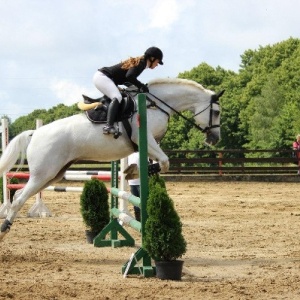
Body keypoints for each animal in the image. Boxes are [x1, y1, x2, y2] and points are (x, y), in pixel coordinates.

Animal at [0, 78, 223, 241]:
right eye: (217, 112)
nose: (215, 139)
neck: (156, 105)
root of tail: (34, 134)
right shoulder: (144, 139)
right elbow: (165, 162)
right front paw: (133, 171)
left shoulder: (148, 144)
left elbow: (155, 162)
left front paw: (132, 170)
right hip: (43, 174)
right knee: (19, 199)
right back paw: (4, 229)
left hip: (53, 175)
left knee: (19, 193)